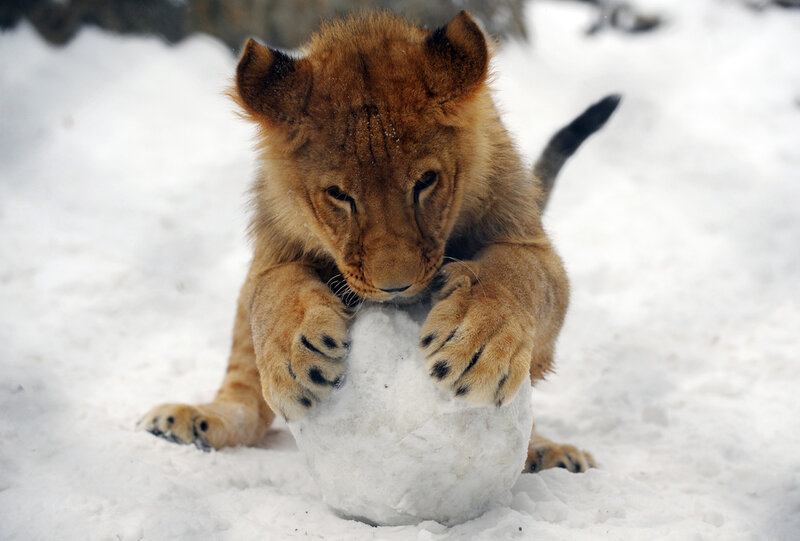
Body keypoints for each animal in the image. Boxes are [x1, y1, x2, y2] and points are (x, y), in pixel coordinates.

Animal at [138, 10, 619, 474]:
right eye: (339, 194)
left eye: (425, 181)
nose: (395, 287)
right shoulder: (269, 258)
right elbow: (273, 294)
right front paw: (296, 357)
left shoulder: (529, 242)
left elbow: (517, 274)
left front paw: (476, 341)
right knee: (245, 391)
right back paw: (193, 421)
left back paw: (547, 452)